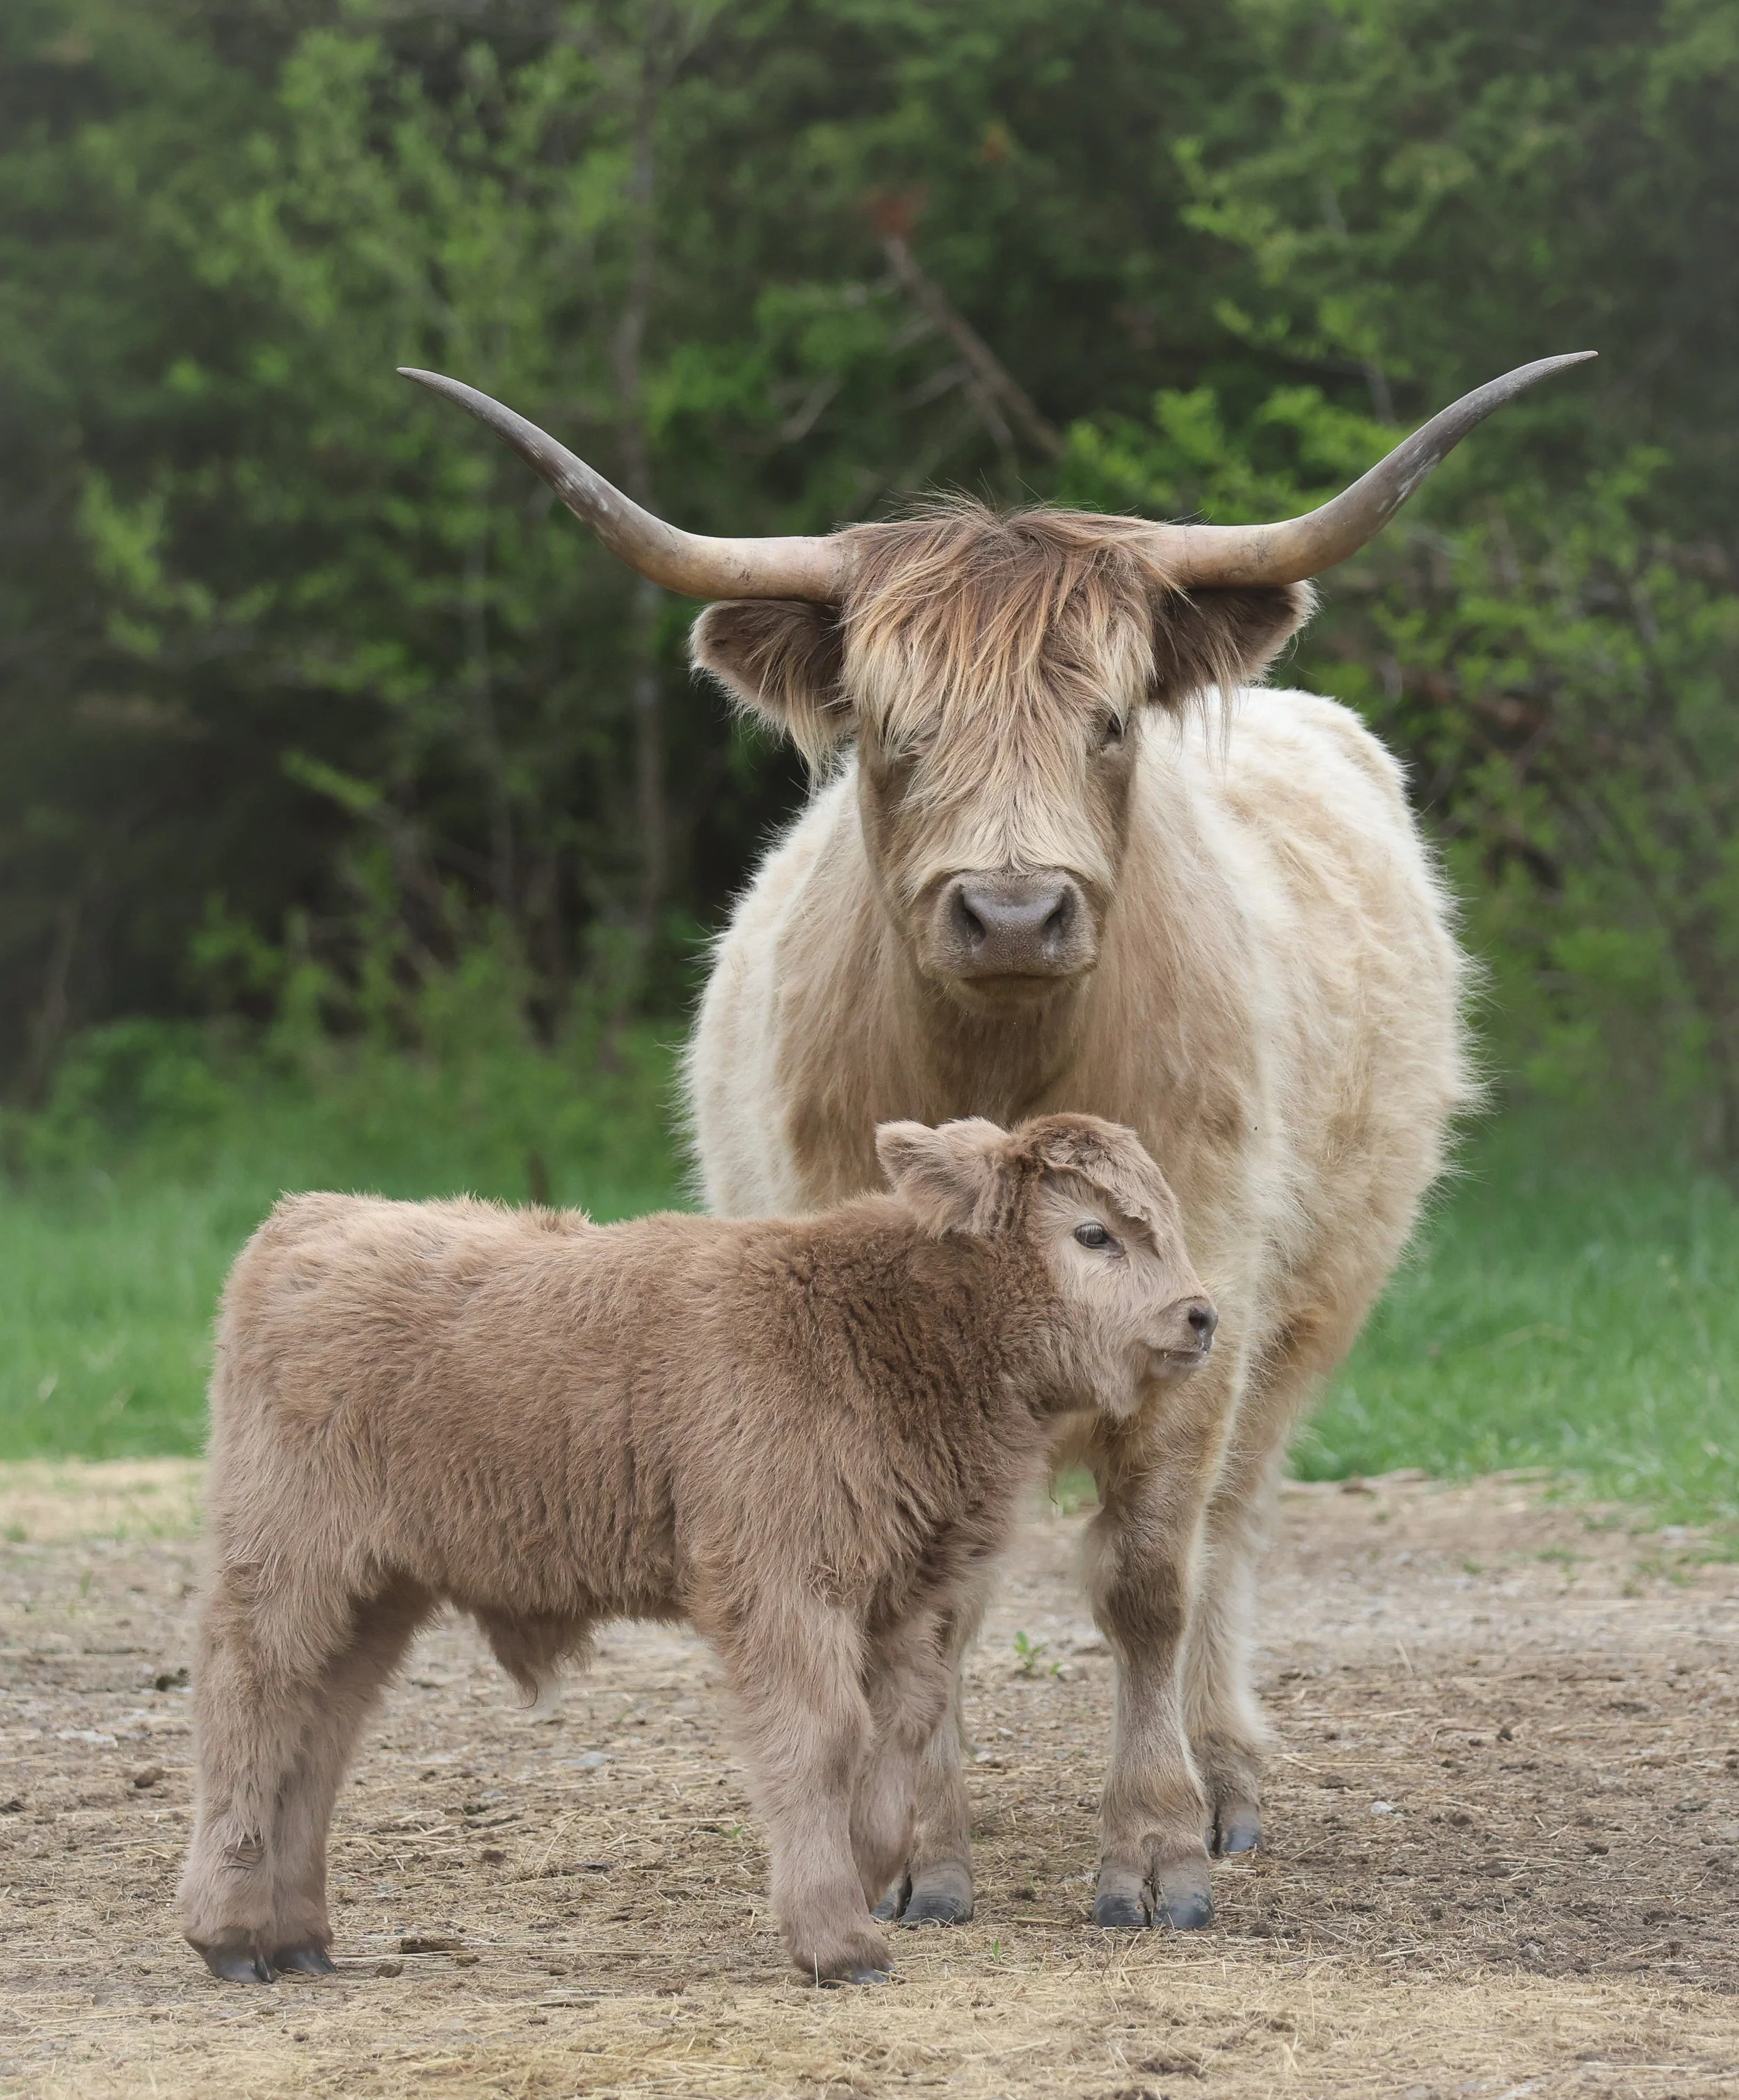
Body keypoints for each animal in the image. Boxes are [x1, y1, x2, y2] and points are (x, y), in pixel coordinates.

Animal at [179, 1115, 1213, 1986]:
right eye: (1093, 1233)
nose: (1200, 1314)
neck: (873, 1326)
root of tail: (310, 1217)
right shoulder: (784, 1586)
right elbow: (820, 1737)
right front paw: (838, 1939)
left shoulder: (900, 1602)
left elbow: (895, 1745)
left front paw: (864, 1879)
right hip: (285, 1561)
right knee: (248, 1708)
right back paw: (229, 1934)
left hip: (378, 1590)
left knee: (319, 1734)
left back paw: (297, 1938)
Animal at [402, 347, 1592, 1933]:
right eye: (891, 730)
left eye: (1110, 720)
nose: (1014, 911)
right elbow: (928, 1601)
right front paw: (912, 1847)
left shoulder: (1205, 1300)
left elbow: (1147, 1575)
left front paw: (1150, 1848)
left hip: (1306, 1319)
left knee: (1230, 1528)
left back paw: (1226, 1776)